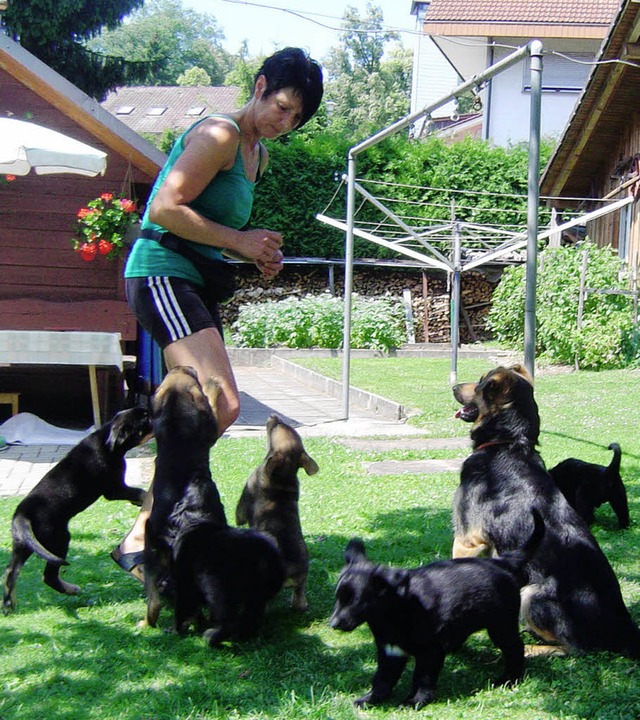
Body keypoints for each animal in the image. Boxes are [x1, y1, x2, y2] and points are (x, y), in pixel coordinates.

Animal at [2, 404, 152, 612]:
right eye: (145, 418)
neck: (108, 442)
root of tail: (22, 515)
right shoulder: (113, 489)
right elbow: (140, 491)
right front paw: (145, 500)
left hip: (23, 544)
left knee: (11, 571)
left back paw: (9, 604)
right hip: (58, 538)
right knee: (48, 575)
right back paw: (71, 590)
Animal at [143, 368, 228, 628]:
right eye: (193, 379)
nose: (185, 367)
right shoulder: (211, 428)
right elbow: (211, 401)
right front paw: (213, 385)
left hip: (152, 555)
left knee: (155, 601)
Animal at [235, 414, 318, 612]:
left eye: (275, 428)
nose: (274, 416)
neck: (283, 475)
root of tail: (287, 574)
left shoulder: (241, 510)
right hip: (301, 581)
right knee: (300, 600)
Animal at [330, 512, 544, 708]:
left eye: (356, 601)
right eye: (337, 598)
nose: (332, 624)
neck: (394, 611)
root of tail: (502, 562)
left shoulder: (430, 651)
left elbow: (422, 679)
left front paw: (414, 701)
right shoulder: (390, 652)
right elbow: (382, 679)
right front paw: (371, 698)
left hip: (501, 625)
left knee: (515, 648)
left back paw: (509, 679)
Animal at [450, 366, 640, 660]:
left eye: (482, 382)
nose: (453, 387)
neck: (508, 442)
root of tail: (624, 627)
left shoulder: (467, 540)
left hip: (532, 592)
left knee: (573, 648)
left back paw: (528, 647)